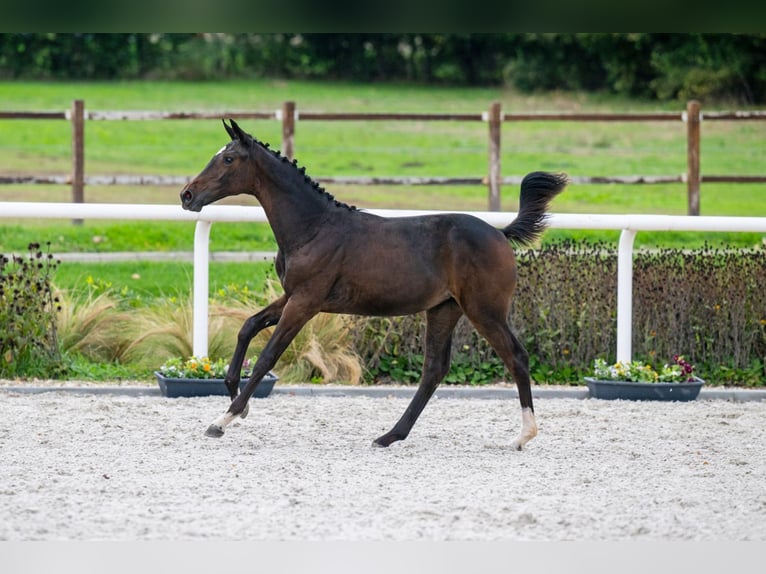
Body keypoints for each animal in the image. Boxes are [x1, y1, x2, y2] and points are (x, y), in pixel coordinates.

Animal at [178, 120, 564, 450]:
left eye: (228, 158)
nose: (187, 196)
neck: (313, 227)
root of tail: (500, 234)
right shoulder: (292, 296)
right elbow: (248, 326)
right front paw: (237, 401)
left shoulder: (304, 302)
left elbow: (267, 357)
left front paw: (223, 420)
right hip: (445, 309)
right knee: (434, 369)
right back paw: (389, 436)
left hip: (484, 309)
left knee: (515, 356)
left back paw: (522, 436)